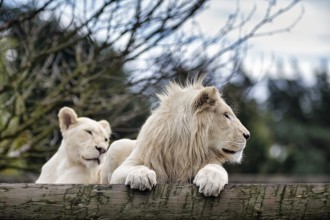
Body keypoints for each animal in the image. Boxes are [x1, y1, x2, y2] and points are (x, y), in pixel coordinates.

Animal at [109, 78, 249, 197]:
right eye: (226, 115)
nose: (248, 135)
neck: (182, 148)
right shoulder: (121, 171)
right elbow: (134, 168)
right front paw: (142, 176)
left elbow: (216, 168)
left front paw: (211, 180)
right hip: (117, 145)